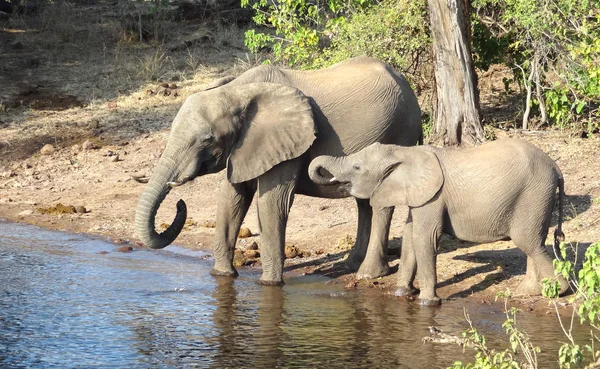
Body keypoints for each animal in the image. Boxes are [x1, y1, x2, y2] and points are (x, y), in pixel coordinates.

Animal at [134, 55, 422, 284]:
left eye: (207, 140)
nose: (180, 202)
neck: (238, 91)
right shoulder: (244, 146)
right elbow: (232, 199)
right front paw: (222, 276)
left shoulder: (288, 143)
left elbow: (272, 203)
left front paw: (269, 284)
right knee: (364, 203)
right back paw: (350, 265)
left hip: (400, 132)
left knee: (381, 203)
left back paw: (368, 274)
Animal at [312, 138, 568, 304]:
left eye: (357, 167)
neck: (403, 152)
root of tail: (556, 167)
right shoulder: (418, 195)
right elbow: (410, 236)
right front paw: (401, 294)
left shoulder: (434, 196)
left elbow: (424, 237)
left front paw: (427, 303)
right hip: (537, 196)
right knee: (535, 241)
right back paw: (528, 293)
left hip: (534, 193)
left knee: (529, 242)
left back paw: (560, 290)